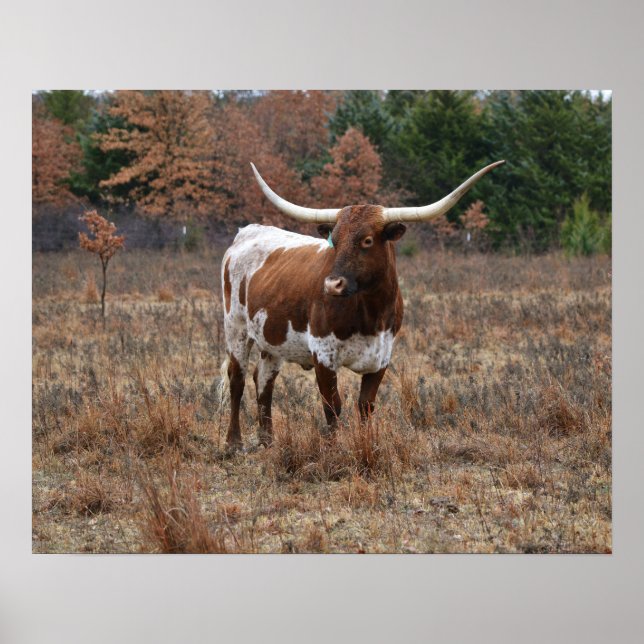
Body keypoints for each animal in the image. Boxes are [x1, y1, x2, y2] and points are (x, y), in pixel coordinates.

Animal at [221, 160, 504, 449]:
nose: (332, 284)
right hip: (236, 328)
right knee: (237, 380)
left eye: (367, 240)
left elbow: (365, 405)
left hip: (272, 339)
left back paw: (267, 440)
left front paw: (368, 444)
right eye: (334, 240)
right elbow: (332, 406)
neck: (370, 314)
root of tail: (248, 231)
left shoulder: (382, 357)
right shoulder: (323, 355)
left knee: (263, 379)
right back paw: (233, 442)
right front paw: (333, 449)